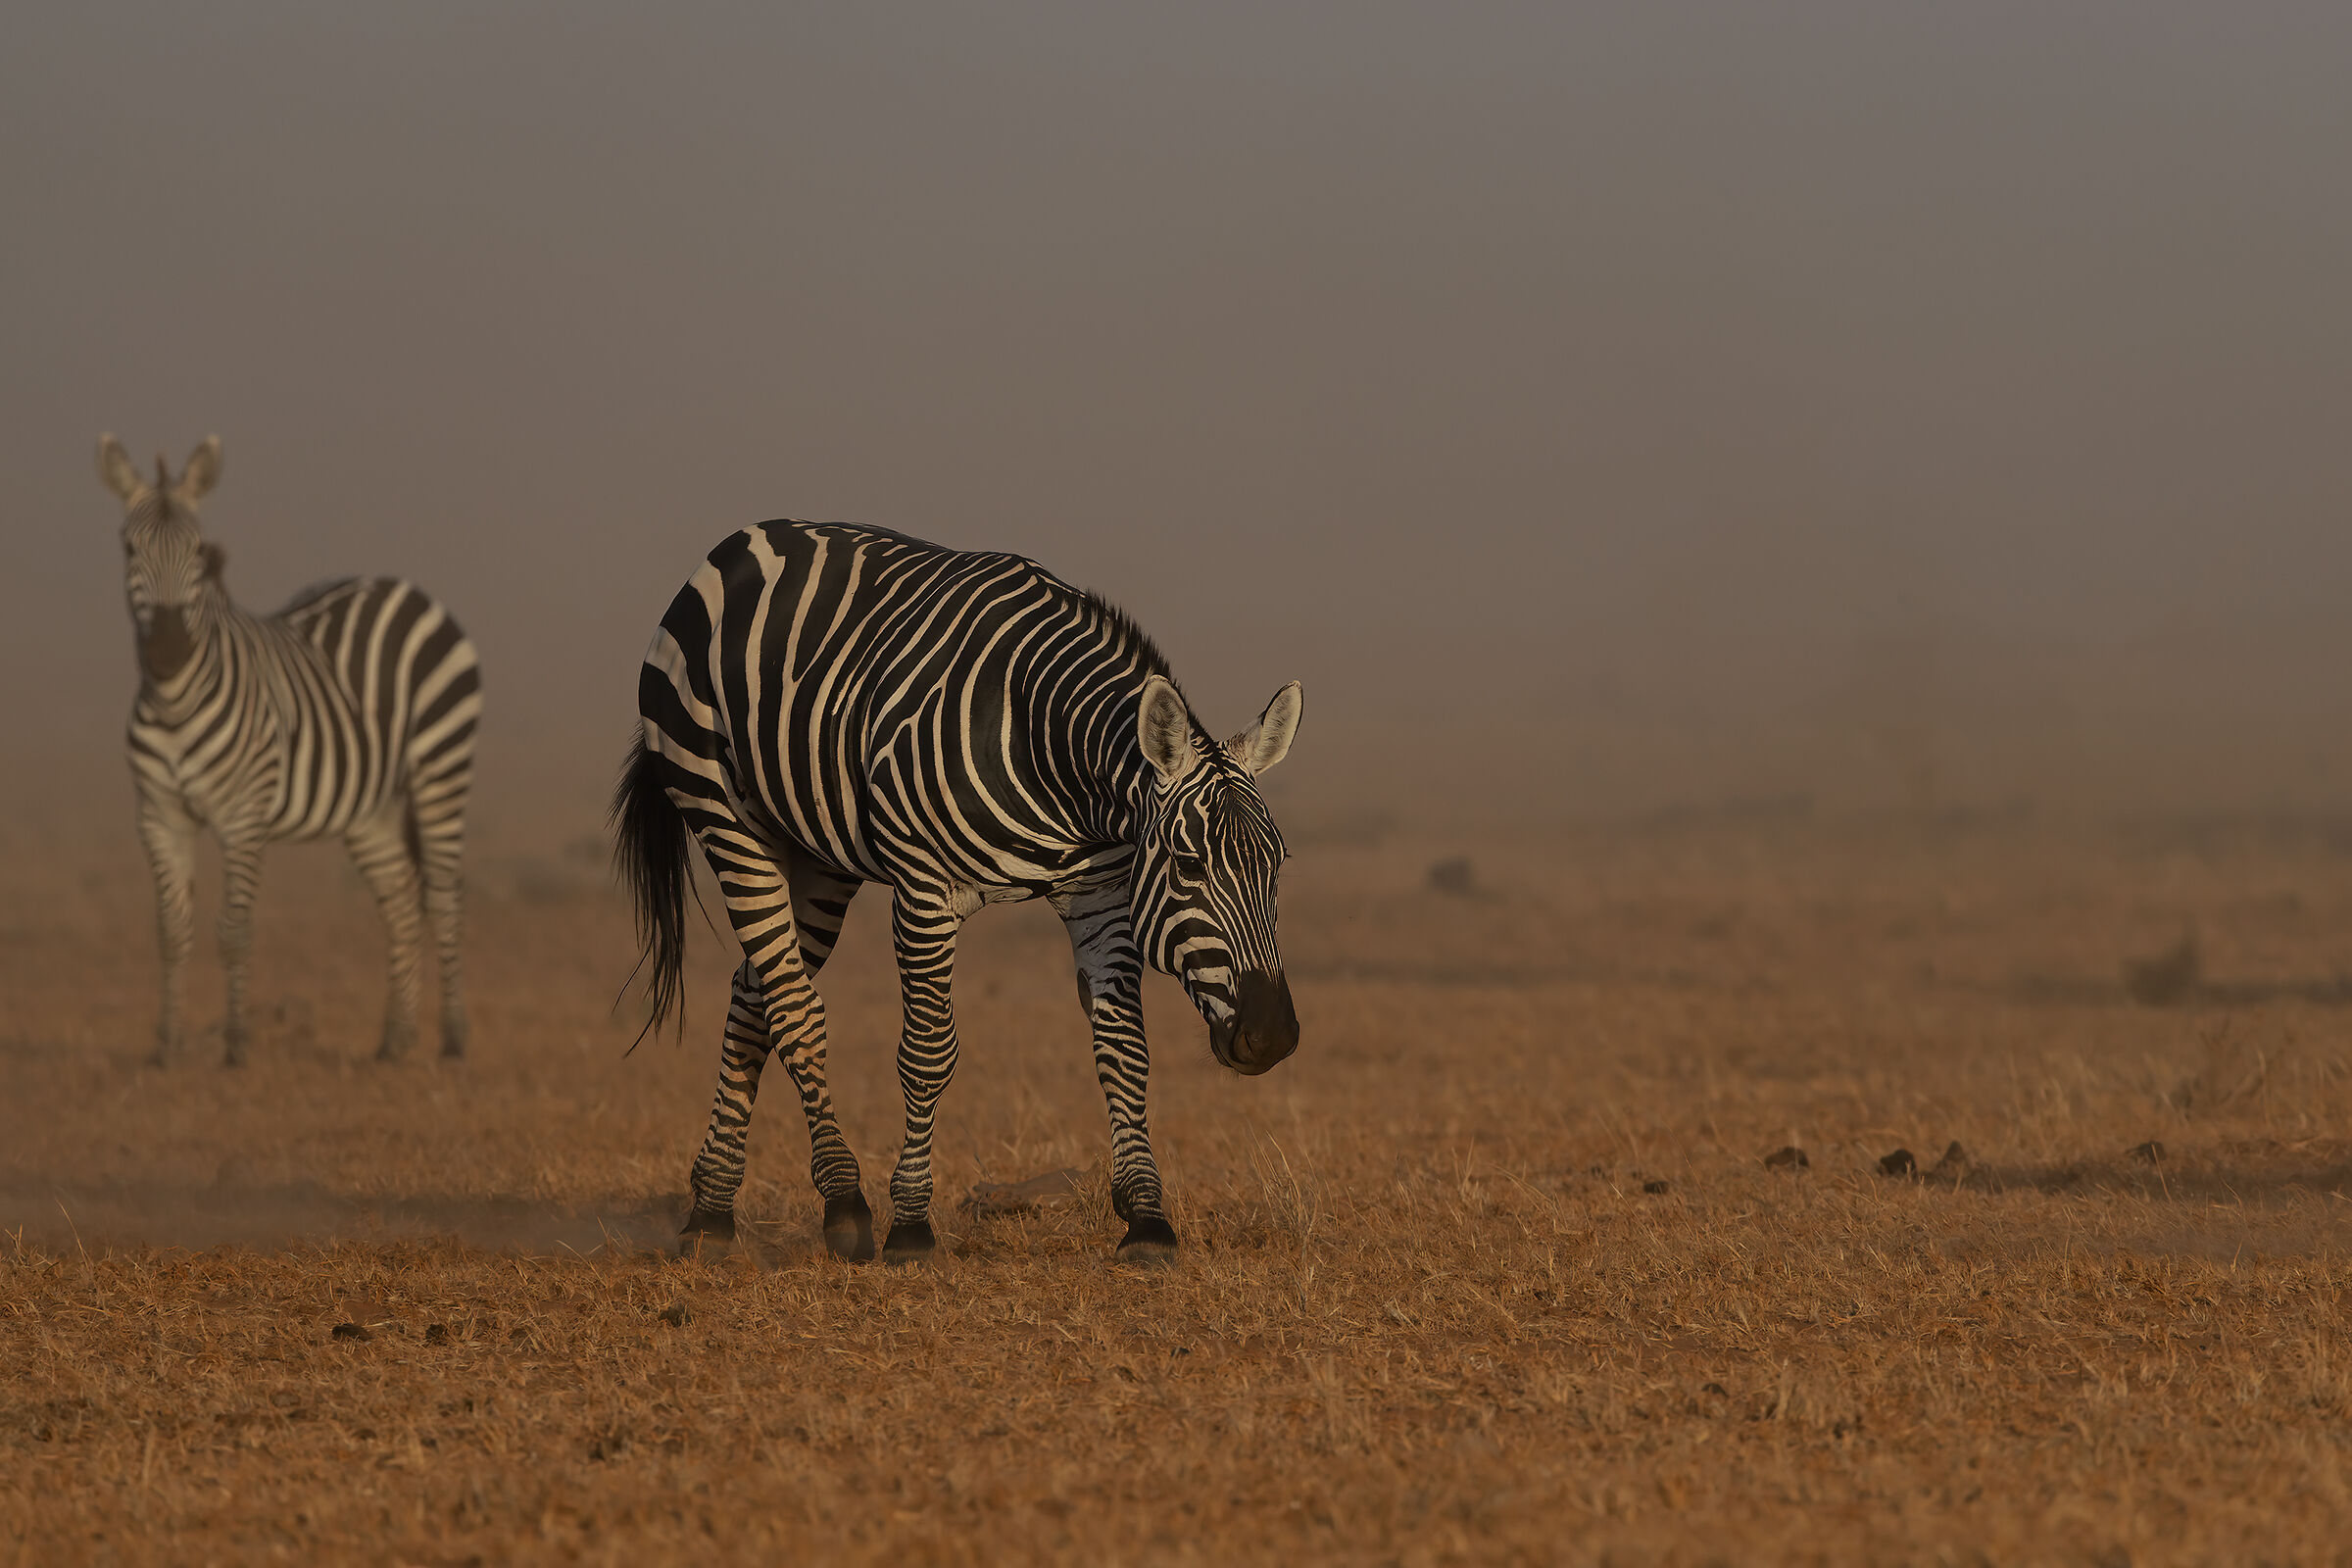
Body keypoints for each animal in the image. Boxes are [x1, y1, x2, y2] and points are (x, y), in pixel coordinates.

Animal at [100, 434, 483, 1067]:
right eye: (130, 548)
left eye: (198, 550)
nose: (168, 652)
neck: (176, 704)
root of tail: (403, 587)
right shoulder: (158, 816)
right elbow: (170, 933)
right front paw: (168, 1048)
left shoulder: (242, 816)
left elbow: (233, 931)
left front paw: (234, 1046)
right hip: (372, 808)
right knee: (403, 903)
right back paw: (395, 1041)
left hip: (443, 767)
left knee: (445, 896)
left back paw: (452, 1040)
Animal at [613, 518, 1303, 1264]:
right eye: (1186, 862)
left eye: (1278, 867)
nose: (1273, 1036)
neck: (1050, 750)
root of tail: (746, 538)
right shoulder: (924, 893)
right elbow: (927, 1055)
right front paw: (911, 1224)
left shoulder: (1101, 894)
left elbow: (1124, 1049)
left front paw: (1146, 1218)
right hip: (724, 814)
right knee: (794, 1008)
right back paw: (843, 1203)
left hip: (818, 857)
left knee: (754, 993)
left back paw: (710, 1211)